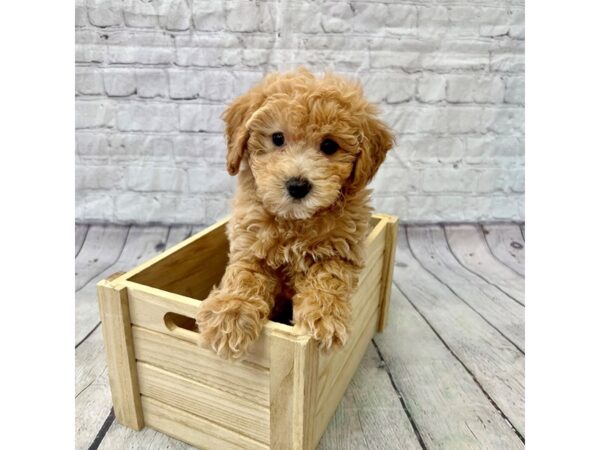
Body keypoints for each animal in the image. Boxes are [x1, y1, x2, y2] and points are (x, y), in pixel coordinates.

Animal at [197, 69, 394, 358]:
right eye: (278, 138)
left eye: (329, 145)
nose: (298, 186)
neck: (295, 221)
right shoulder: (250, 245)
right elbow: (245, 274)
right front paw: (231, 314)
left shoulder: (342, 249)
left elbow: (329, 275)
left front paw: (324, 317)